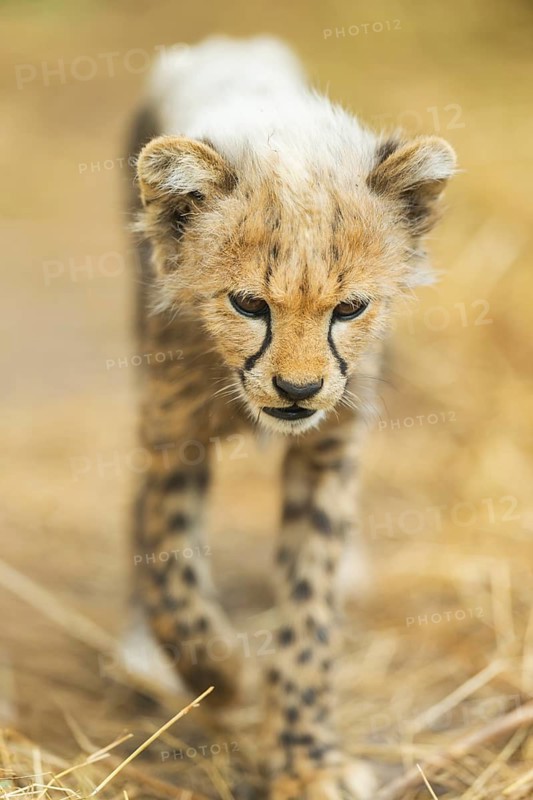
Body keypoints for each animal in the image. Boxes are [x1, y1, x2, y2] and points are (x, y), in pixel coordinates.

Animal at [125, 35, 455, 800]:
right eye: (248, 303)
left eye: (350, 308)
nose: (298, 390)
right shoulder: (171, 436)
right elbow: (170, 568)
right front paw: (219, 675)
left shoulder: (329, 447)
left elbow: (310, 603)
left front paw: (306, 758)